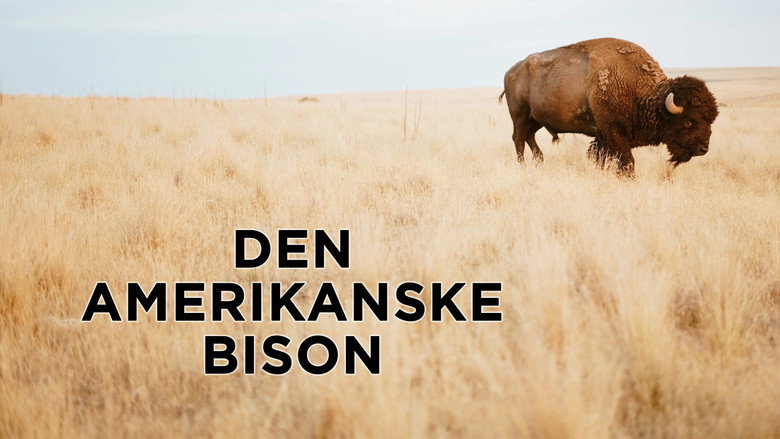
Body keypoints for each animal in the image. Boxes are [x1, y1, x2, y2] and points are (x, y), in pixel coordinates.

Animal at [500, 38, 719, 175]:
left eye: (711, 120)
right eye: (689, 121)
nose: (703, 149)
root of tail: (511, 71)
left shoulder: (604, 137)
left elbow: (600, 157)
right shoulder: (614, 133)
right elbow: (627, 161)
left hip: (536, 119)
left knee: (529, 137)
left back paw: (539, 161)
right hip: (520, 115)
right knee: (519, 139)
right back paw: (523, 166)